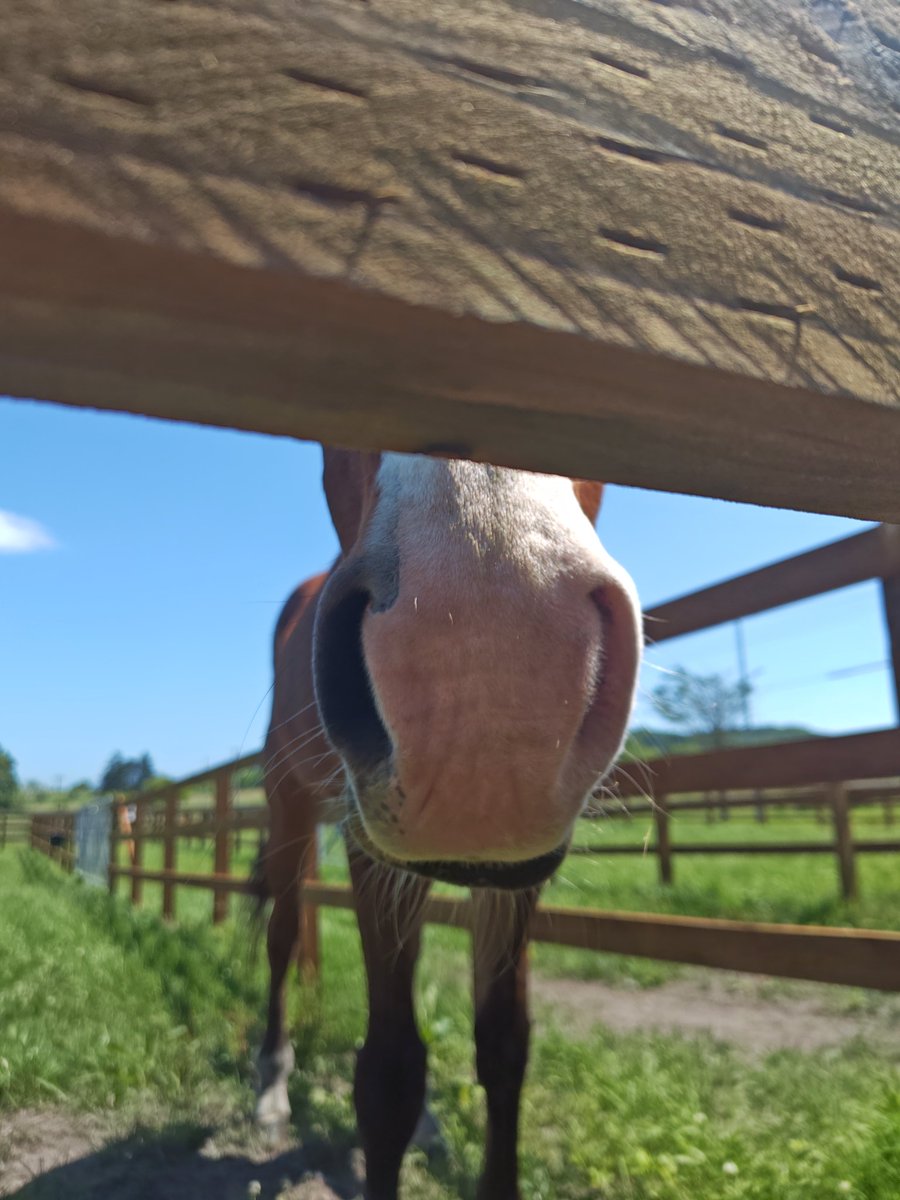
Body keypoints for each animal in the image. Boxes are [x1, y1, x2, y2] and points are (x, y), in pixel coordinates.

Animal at [255, 447, 641, 1200]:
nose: (482, 674)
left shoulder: (514, 873)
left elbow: (504, 1045)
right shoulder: (368, 851)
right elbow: (388, 1075)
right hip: (289, 808)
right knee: (282, 938)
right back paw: (272, 1087)